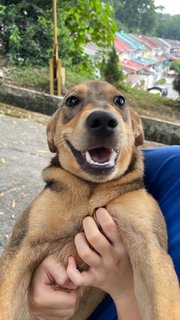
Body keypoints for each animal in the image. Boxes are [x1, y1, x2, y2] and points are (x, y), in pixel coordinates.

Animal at [0, 80, 180, 320]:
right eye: (72, 100)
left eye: (120, 100)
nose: (103, 121)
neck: (91, 191)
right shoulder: (22, 245)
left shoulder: (150, 248)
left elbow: (163, 307)